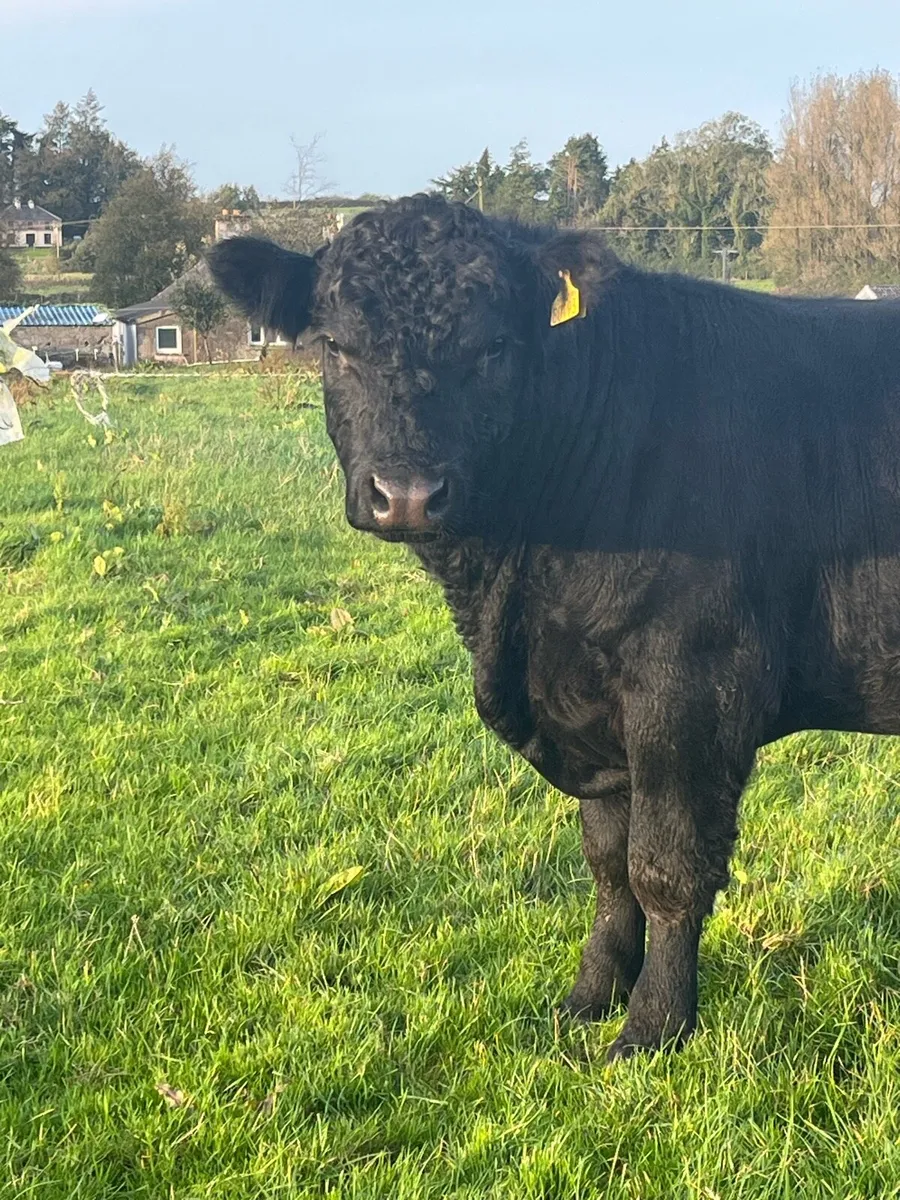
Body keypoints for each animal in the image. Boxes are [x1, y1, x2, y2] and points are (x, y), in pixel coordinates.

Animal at [209, 194, 900, 1059]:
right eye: (334, 345)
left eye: (496, 346)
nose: (406, 493)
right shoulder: (592, 704)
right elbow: (608, 863)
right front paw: (590, 996)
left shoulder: (693, 682)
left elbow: (666, 866)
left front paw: (653, 1028)